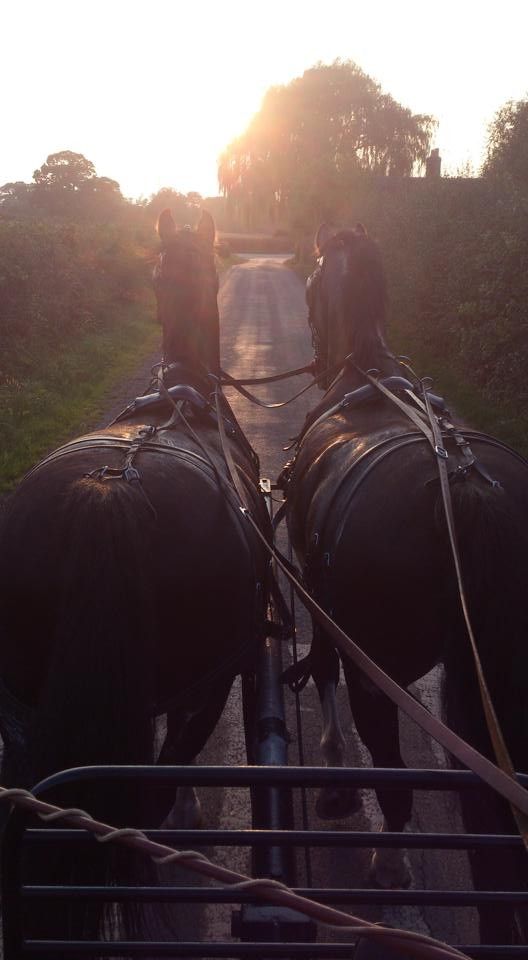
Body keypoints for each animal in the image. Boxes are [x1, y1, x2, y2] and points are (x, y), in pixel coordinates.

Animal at [282, 221, 528, 940]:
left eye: (311, 281)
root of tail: (469, 489)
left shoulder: (323, 599)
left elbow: (324, 669)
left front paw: (335, 775)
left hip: (380, 667)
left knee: (392, 776)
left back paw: (389, 863)